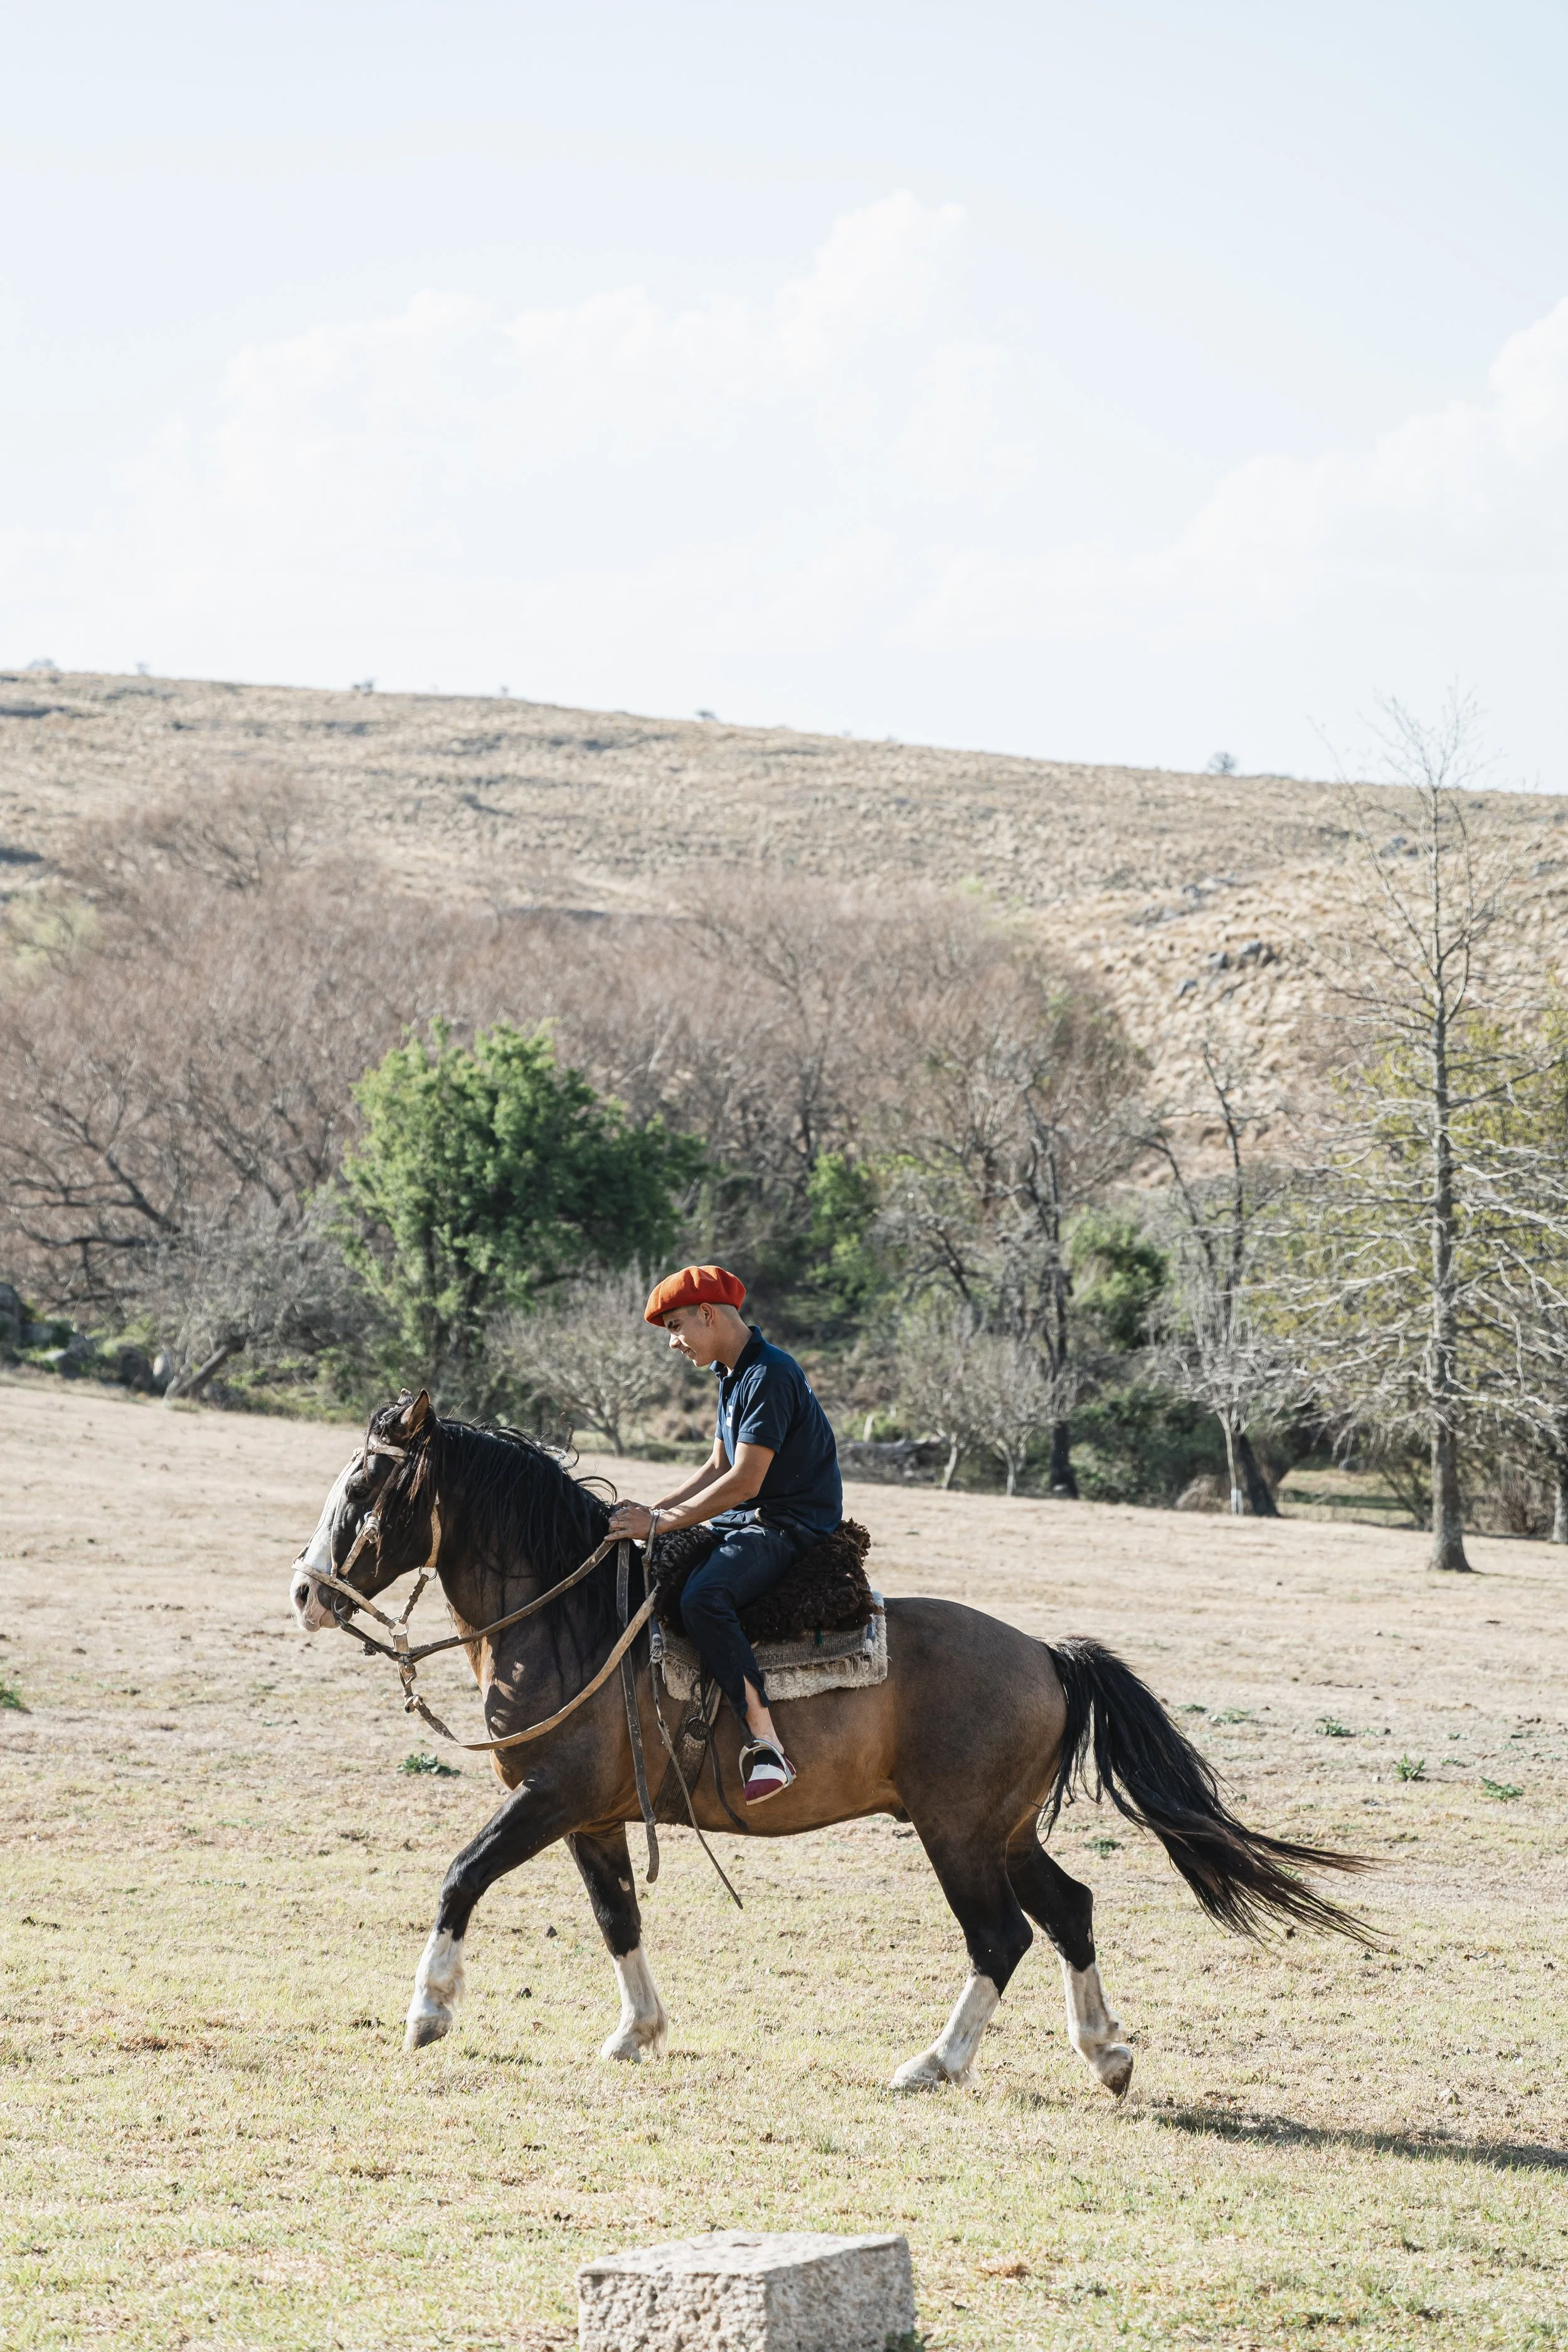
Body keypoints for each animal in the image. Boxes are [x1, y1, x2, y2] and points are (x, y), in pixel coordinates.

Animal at [289, 1391, 1370, 2090]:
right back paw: (1104, 2051)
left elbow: (461, 1875)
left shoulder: (548, 1798)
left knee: (1003, 1935)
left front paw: (429, 2010)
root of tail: (1049, 1657)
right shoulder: (593, 1816)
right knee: (1071, 1910)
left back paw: (935, 2062)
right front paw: (638, 2031)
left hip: (958, 1832)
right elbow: (618, 1918)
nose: (306, 1591)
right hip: (1006, 1829)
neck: (573, 1621)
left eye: (365, 1485)